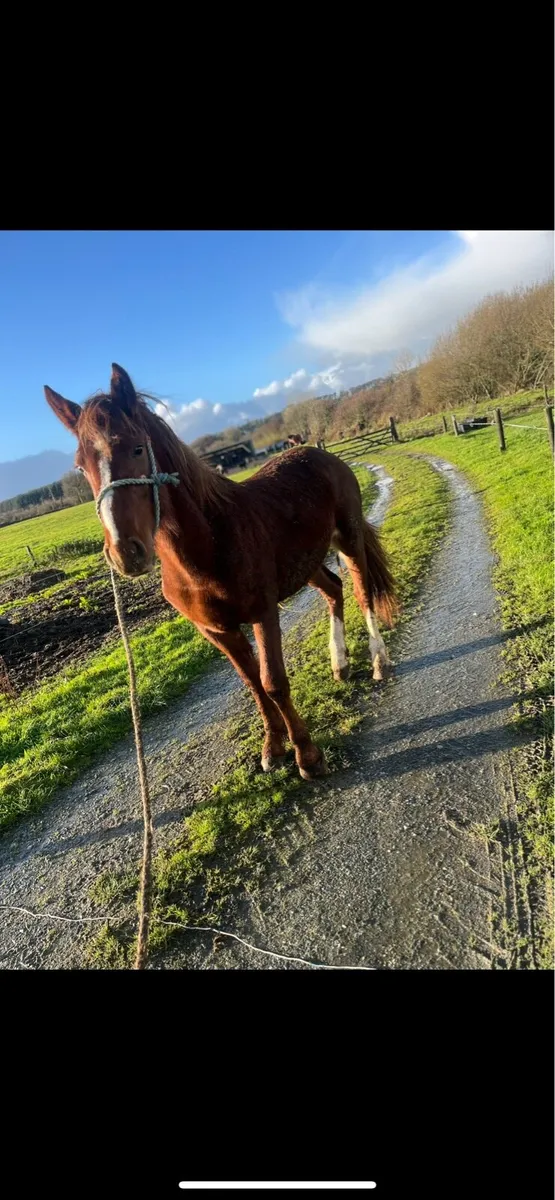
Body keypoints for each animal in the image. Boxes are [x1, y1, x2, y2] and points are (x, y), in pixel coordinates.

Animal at [45, 364, 396, 781]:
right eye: (81, 465)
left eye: (136, 448)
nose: (125, 553)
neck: (207, 549)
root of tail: (318, 452)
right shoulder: (215, 630)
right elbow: (253, 684)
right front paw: (273, 748)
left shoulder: (263, 613)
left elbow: (273, 682)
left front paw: (307, 755)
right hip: (306, 564)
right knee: (334, 590)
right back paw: (340, 664)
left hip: (349, 537)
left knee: (361, 590)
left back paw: (378, 661)